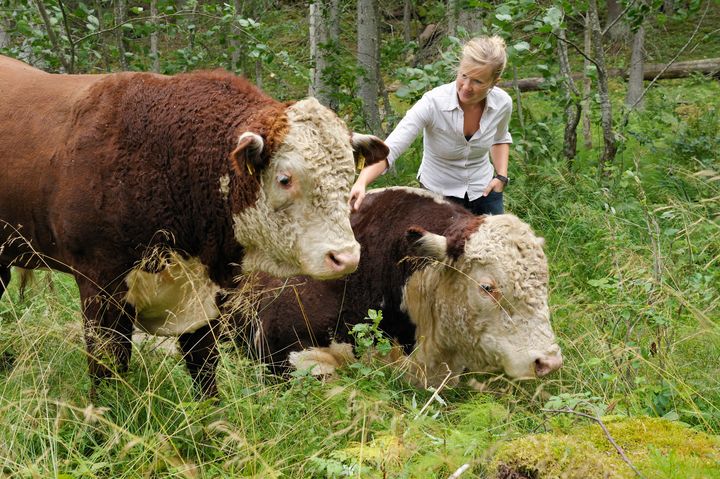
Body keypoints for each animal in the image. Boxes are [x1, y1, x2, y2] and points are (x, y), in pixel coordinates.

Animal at [0, 54, 388, 398]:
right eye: (284, 179)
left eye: (348, 175)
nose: (345, 256)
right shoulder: (100, 288)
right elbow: (107, 369)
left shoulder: (208, 298)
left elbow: (204, 369)